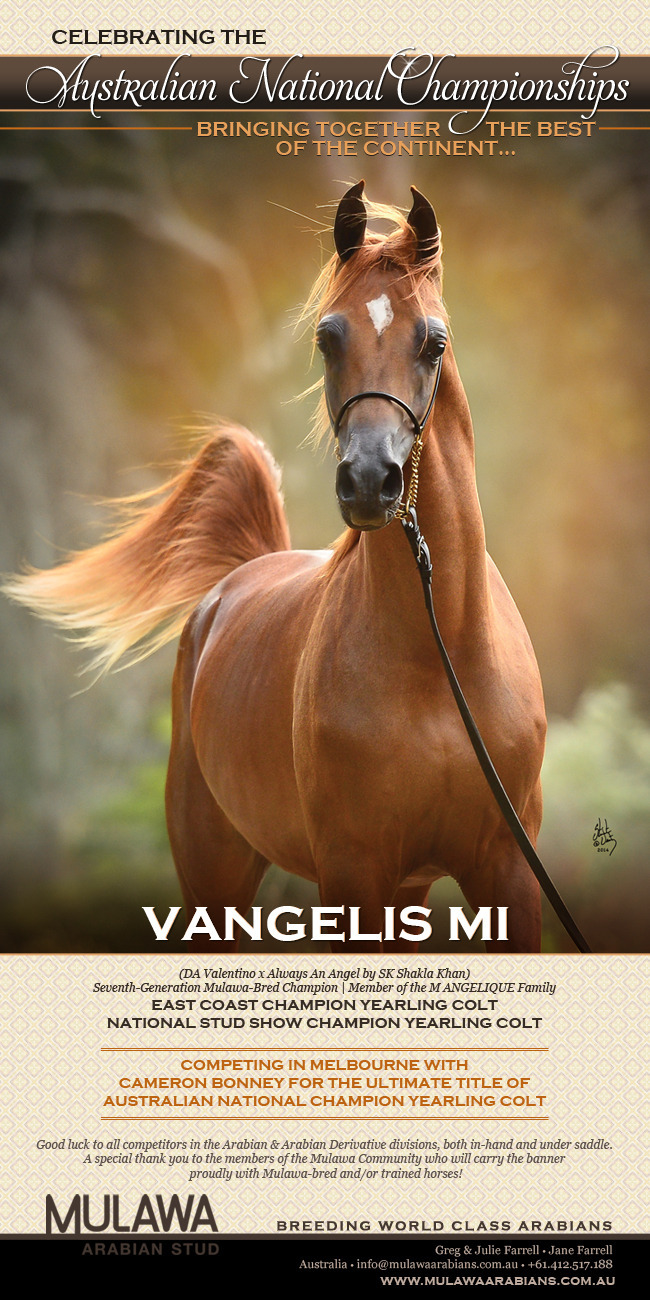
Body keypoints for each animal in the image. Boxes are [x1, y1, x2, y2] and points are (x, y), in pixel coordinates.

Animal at [4, 183, 547, 953]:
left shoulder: (507, 870)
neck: (440, 657)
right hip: (216, 873)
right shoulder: (354, 872)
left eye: (434, 340)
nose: (371, 481)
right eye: (328, 337)